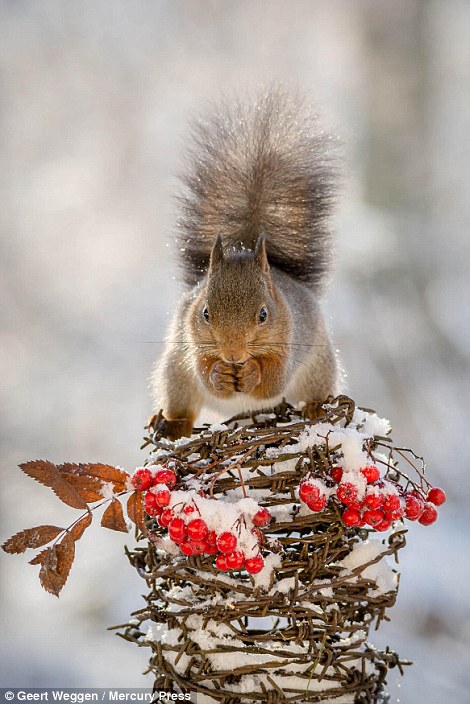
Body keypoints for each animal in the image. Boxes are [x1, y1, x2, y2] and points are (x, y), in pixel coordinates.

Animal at [152, 88, 340, 440]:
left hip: (319, 368)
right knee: (183, 403)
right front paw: (219, 375)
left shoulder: (288, 343)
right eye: (205, 313)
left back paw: (316, 408)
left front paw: (252, 372)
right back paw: (171, 424)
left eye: (264, 314)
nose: (233, 355)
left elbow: (273, 380)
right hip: (175, 375)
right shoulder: (192, 342)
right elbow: (204, 373)